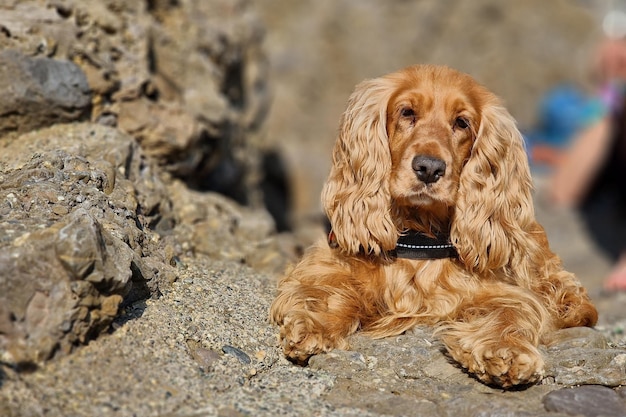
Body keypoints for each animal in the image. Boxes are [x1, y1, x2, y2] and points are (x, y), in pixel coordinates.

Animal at [270, 65, 596, 386]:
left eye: (462, 123)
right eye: (407, 112)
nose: (429, 168)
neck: (418, 231)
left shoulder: (503, 290)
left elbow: (513, 312)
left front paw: (506, 351)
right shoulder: (327, 264)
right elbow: (326, 289)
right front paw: (313, 324)